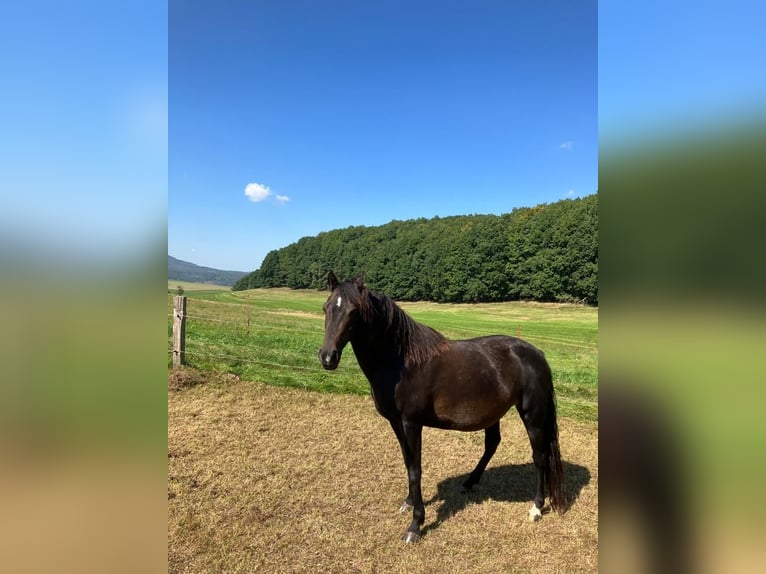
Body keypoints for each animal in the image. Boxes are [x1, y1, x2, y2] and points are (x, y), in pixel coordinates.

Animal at [318, 272, 566, 543]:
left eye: (353, 311)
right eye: (326, 307)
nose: (327, 357)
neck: (402, 361)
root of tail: (537, 354)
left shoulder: (411, 423)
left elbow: (415, 469)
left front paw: (415, 525)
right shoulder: (396, 423)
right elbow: (407, 462)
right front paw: (408, 502)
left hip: (532, 416)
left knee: (539, 456)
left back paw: (536, 507)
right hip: (494, 413)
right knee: (493, 444)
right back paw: (469, 482)